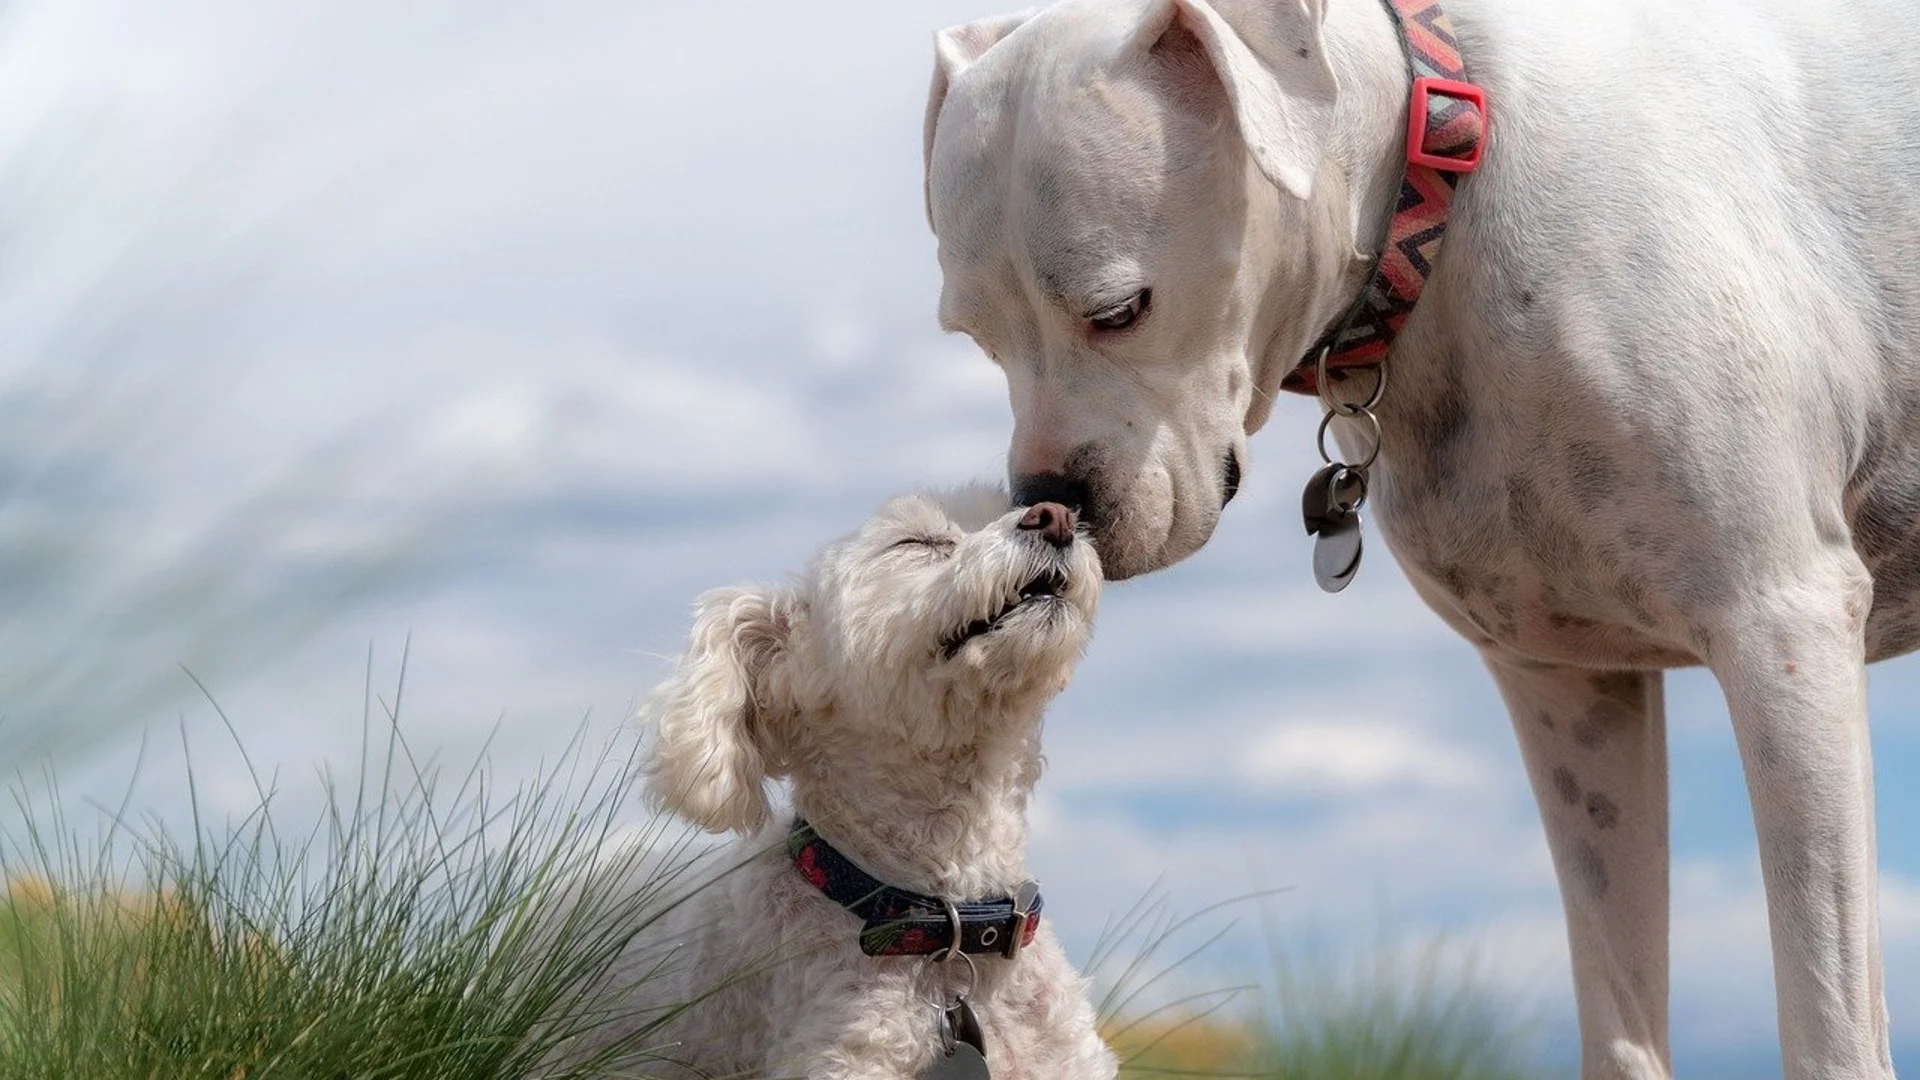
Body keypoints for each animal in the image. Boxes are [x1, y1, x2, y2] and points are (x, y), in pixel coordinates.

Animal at [921, 2, 1912, 1076]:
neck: (1440, 181)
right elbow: (1619, 1016)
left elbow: (1829, 1021)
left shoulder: (1782, 633)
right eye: (975, 338)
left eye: (1119, 310)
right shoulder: (1571, 691)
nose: (1048, 502)